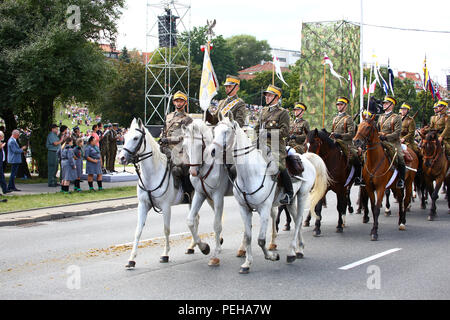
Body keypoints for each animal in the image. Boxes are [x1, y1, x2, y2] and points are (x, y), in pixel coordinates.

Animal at [118, 117, 195, 268]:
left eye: (136, 138)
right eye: (124, 137)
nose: (122, 158)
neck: (152, 174)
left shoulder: (166, 207)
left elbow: (166, 229)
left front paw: (165, 254)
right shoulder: (143, 205)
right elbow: (138, 231)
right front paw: (131, 259)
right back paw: (191, 246)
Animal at [182, 119, 232, 266]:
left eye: (200, 145)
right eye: (184, 145)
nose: (193, 172)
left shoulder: (218, 196)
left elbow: (216, 224)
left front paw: (216, 254)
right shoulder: (200, 194)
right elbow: (190, 221)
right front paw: (204, 247)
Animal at [213, 119, 328, 274]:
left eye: (226, 131)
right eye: (214, 131)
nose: (213, 151)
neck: (249, 172)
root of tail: (305, 158)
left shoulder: (264, 209)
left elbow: (261, 240)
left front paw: (272, 256)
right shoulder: (244, 209)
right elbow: (248, 237)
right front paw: (247, 263)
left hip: (303, 195)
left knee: (298, 221)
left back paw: (291, 253)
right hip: (291, 201)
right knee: (297, 218)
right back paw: (299, 249)